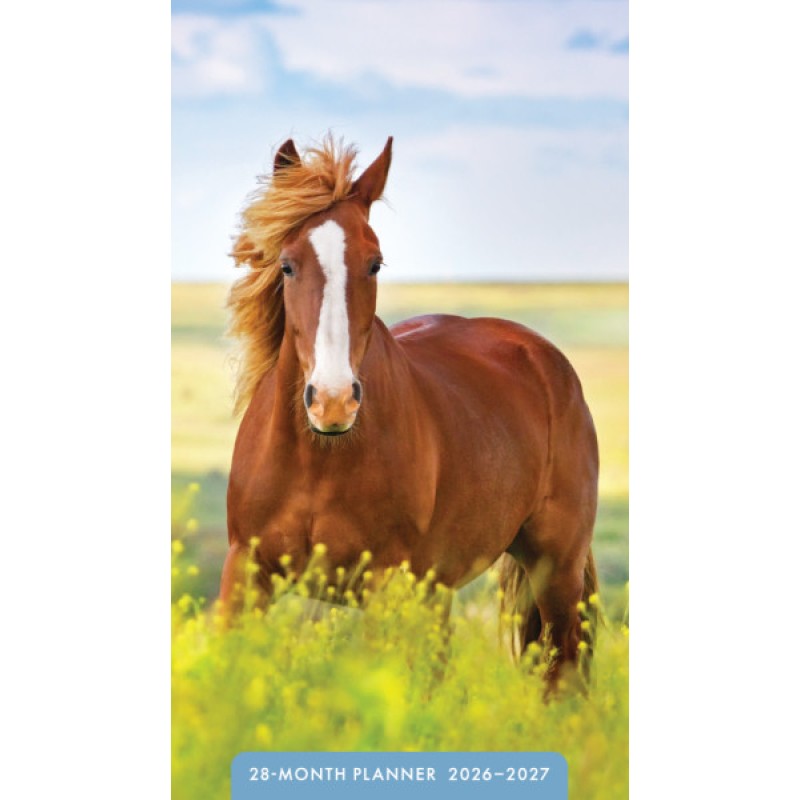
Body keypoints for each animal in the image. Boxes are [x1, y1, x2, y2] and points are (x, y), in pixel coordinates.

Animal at [222, 135, 599, 688]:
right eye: (287, 265)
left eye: (374, 263)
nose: (333, 401)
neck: (319, 458)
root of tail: (543, 356)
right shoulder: (245, 573)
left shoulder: (383, 585)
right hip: (439, 588)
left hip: (557, 570)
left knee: (563, 672)